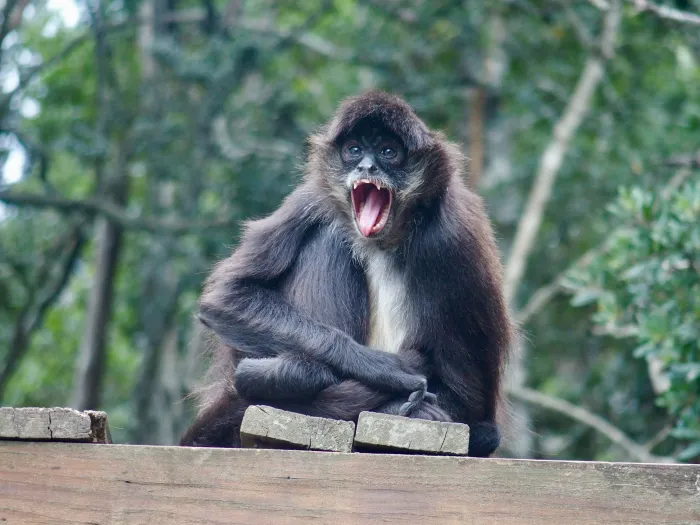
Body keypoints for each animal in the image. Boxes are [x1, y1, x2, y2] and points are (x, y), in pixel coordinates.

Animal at [178, 90, 512, 454]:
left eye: (388, 152)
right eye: (354, 150)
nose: (366, 166)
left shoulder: (452, 236)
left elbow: (469, 404)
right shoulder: (310, 199)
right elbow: (225, 297)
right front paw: (385, 369)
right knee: (330, 236)